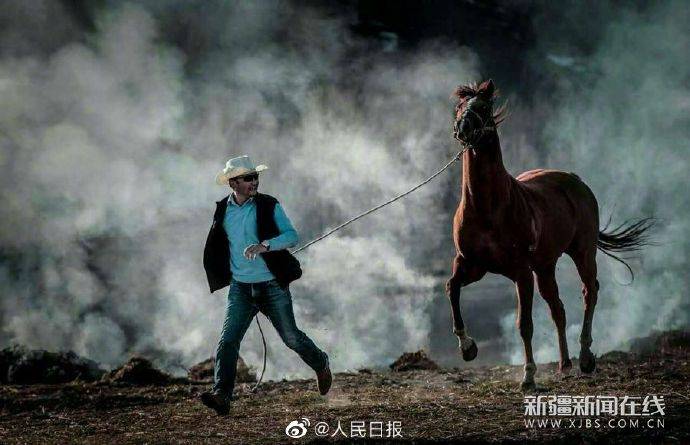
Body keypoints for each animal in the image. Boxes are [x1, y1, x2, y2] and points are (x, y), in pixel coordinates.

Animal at [446, 79, 653, 390]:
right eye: (459, 106)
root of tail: (576, 180)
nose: (463, 128)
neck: (488, 207)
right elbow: (452, 288)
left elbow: (524, 324)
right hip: (544, 267)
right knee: (558, 307)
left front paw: (528, 376)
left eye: (482, 107)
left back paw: (585, 357)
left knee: (589, 291)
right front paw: (467, 348)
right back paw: (564, 363)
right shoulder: (471, 264)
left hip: (582, 253)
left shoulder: (521, 272)